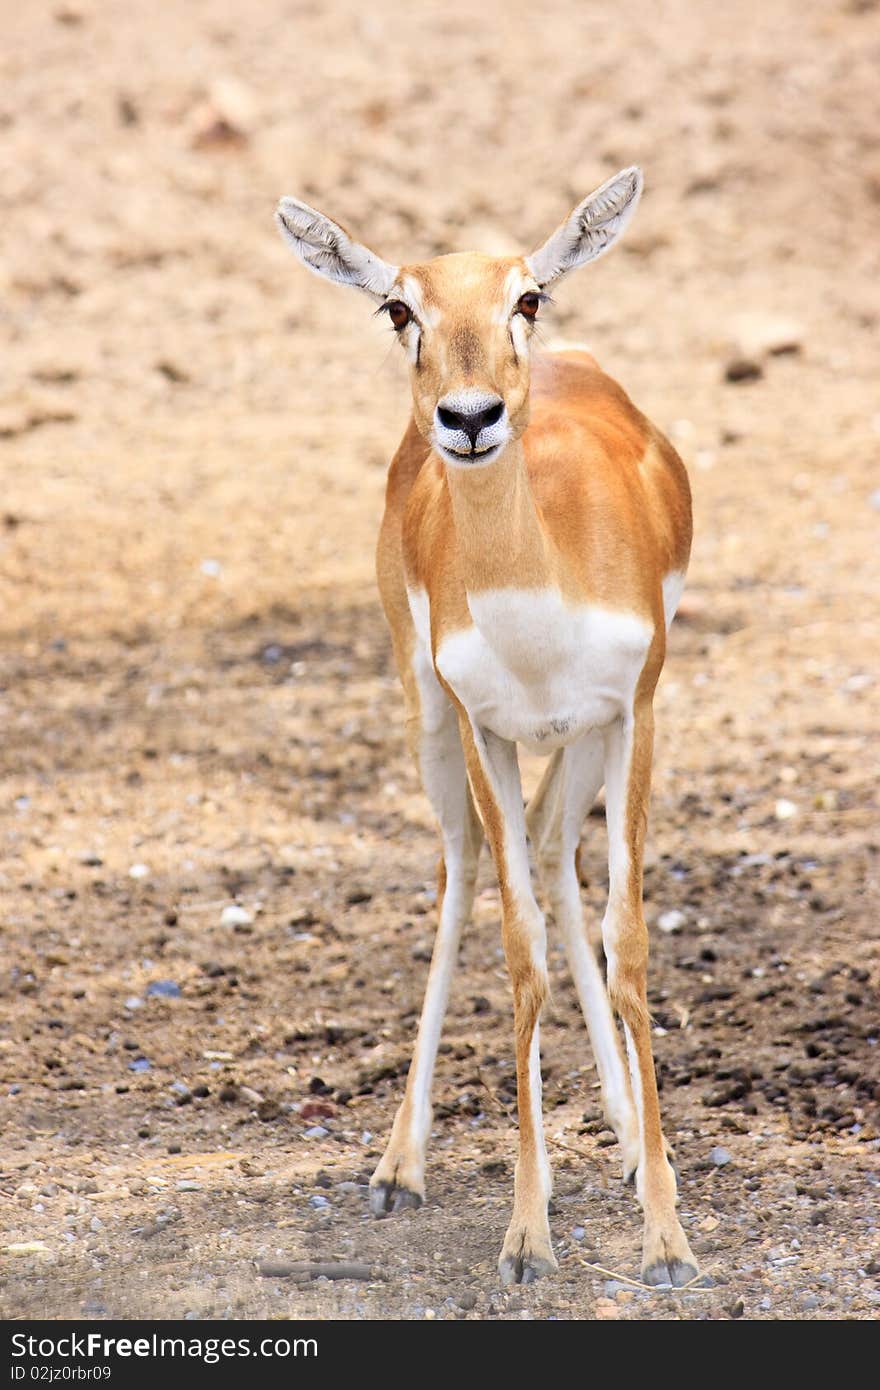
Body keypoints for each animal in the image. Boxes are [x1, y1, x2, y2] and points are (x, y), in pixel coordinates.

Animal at [275, 170, 700, 1289]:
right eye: (398, 308)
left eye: (527, 296)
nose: (469, 416)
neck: (537, 592)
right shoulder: (483, 729)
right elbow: (518, 955)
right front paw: (526, 1235)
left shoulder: (635, 710)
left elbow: (627, 943)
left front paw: (667, 1237)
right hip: (429, 716)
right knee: (467, 864)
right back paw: (399, 1166)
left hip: (584, 739)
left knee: (554, 852)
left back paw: (627, 1136)